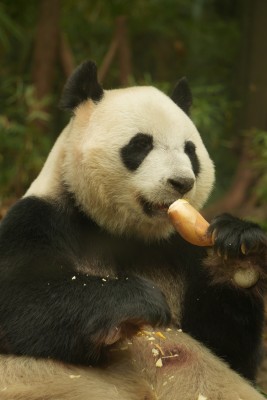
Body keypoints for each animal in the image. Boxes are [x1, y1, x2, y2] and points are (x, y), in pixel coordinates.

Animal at [0, 60, 267, 400]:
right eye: (141, 144)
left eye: (190, 150)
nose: (182, 182)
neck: (126, 232)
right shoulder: (40, 220)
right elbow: (21, 297)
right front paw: (139, 301)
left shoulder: (181, 248)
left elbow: (230, 350)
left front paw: (239, 251)